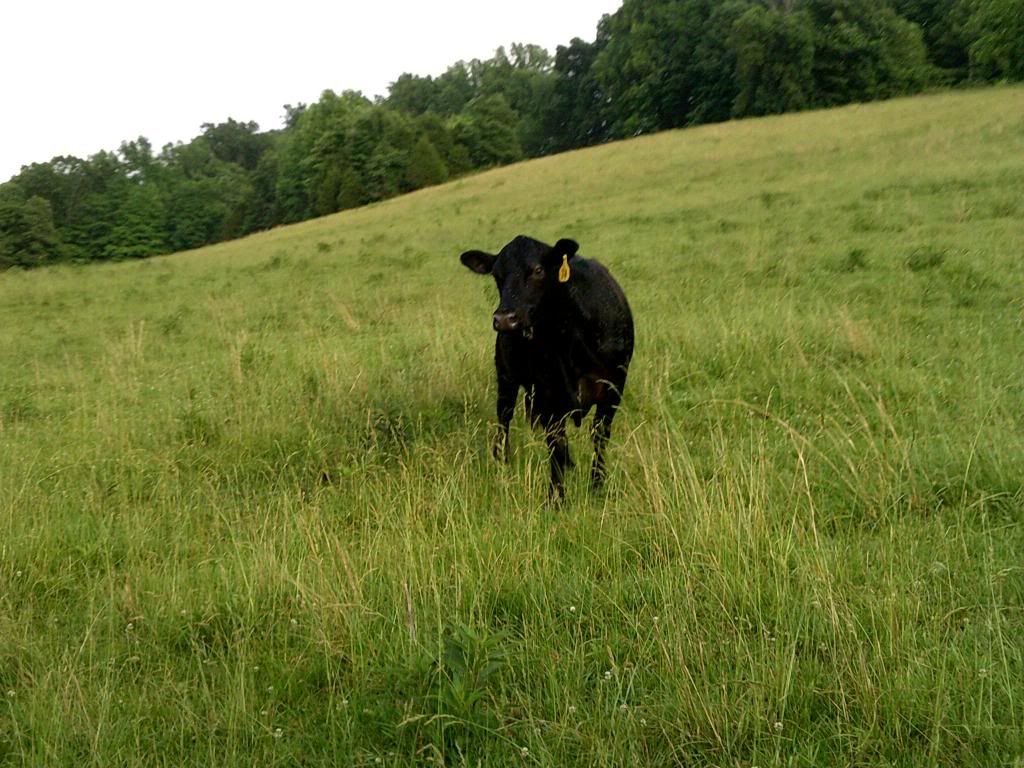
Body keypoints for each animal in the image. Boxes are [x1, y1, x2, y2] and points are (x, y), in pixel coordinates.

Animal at [460, 235, 634, 499]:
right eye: (497, 275)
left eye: (538, 270)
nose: (504, 319)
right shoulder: (548, 393)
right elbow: (556, 444)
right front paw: (556, 497)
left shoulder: (614, 386)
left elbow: (600, 435)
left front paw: (596, 485)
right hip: (506, 379)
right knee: (504, 418)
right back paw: (502, 459)